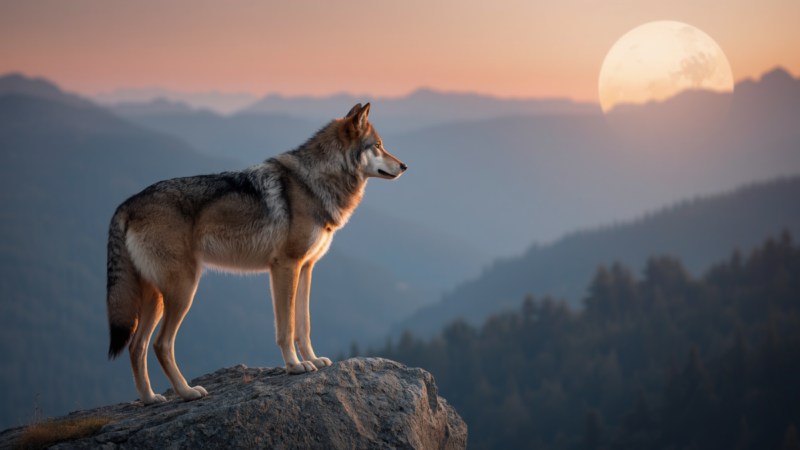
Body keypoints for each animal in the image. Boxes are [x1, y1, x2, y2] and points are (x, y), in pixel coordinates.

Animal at [106, 103, 406, 404]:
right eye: (378, 145)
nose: (405, 166)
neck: (315, 180)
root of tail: (127, 203)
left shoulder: (305, 268)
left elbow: (304, 325)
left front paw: (312, 360)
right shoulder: (285, 266)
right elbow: (287, 327)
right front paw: (294, 366)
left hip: (156, 297)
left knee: (137, 345)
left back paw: (150, 398)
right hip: (183, 290)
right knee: (160, 344)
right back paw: (187, 392)